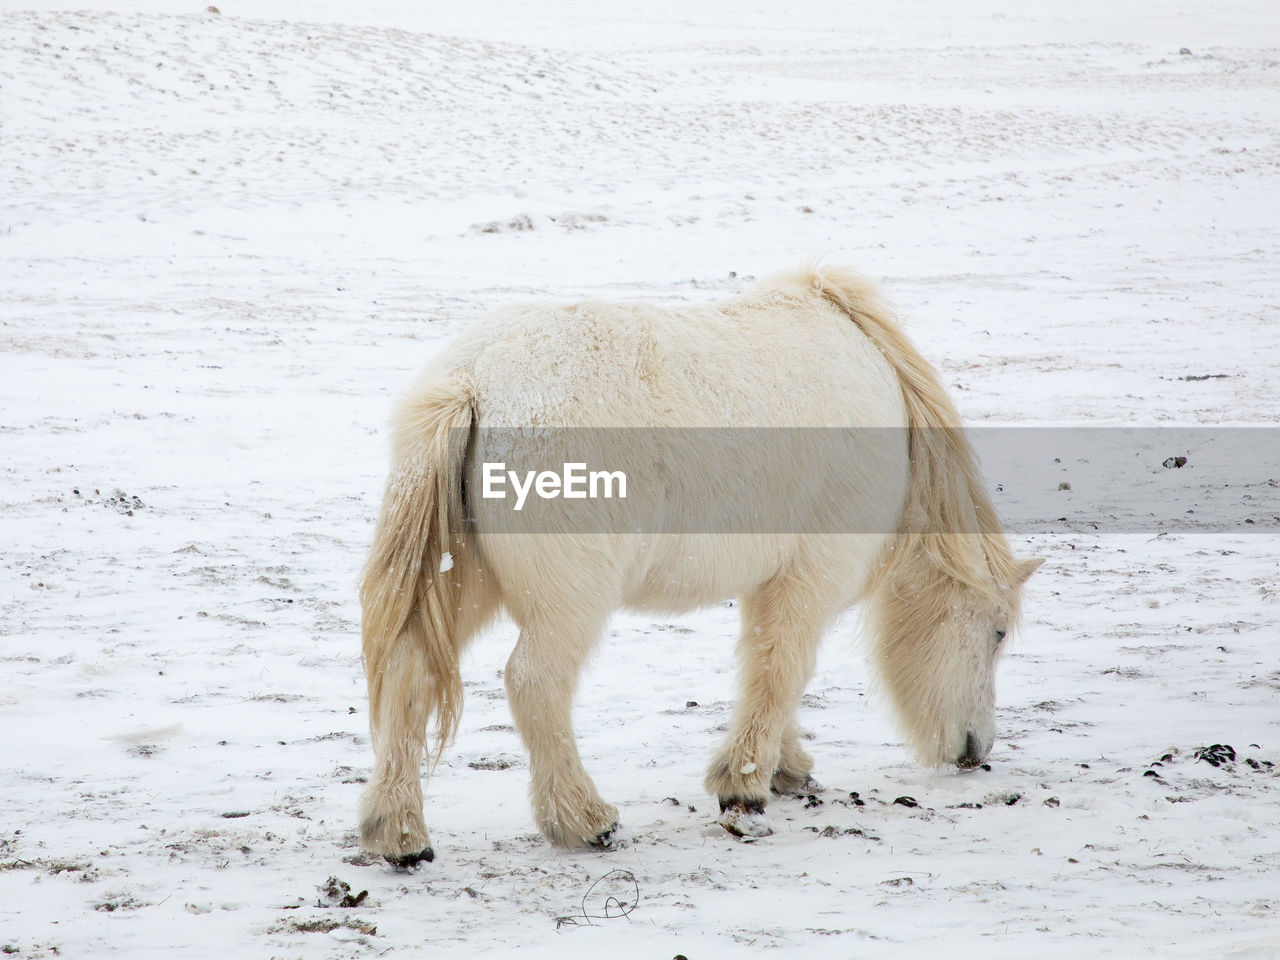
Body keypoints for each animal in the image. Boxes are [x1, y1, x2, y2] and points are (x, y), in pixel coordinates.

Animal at [358, 263, 1039, 865]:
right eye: (997, 631)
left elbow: (766, 663)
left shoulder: (771, 579)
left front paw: (784, 767)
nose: (976, 751)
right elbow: (785, 665)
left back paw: (400, 835)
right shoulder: (812, 574)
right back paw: (583, 820)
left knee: (408, 674)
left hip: (465, 585)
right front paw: (743, 781)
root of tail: (472, 380)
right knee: (533, 683)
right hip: (568, 602)